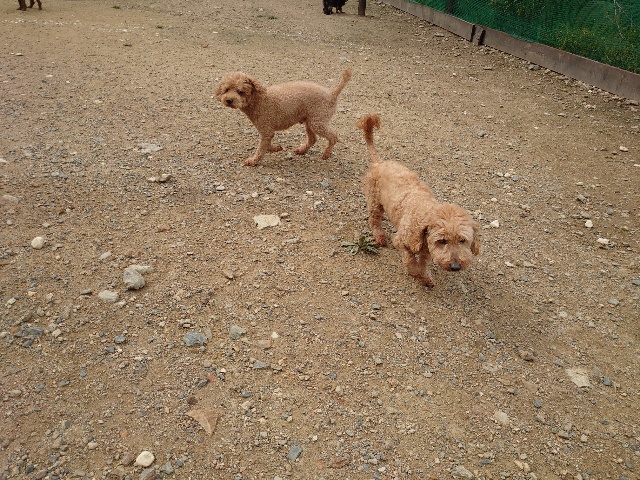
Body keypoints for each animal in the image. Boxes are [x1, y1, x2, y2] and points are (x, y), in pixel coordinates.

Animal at [215, 69, 351, 166]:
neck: (257, 100)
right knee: (313, 139)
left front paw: (253, 161)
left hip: (318, 122)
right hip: (310, 121)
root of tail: (332, 93)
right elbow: (267, 145)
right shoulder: (267, 131)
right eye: (226, 89)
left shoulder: (266, 129)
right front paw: (277, 148)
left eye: (240, 92)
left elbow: (262, 148)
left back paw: (326, 154)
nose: (228, 100)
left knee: (333, 136)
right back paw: (301, 150)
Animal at [357, 114, 480, 287]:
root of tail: (379, 162)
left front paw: (425, 277)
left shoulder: (427, 250)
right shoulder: (400, 241)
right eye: (442, 241)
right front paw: (415, 273)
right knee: (375, 220)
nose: (456, 266)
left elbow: (422, 263)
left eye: (462, 240)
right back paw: (380, 237)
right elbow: (411, 262)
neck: (425, 216)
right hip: (375, 201)